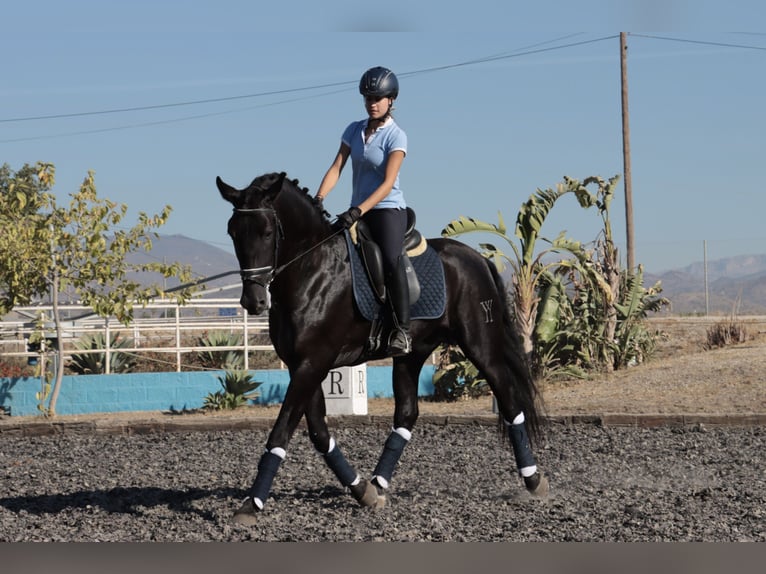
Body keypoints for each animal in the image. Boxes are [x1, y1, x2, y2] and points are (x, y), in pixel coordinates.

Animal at [218, 172, 544, 528]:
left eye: (266, 232)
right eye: (233, 232)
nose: (253, 301)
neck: (311, 270)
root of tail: (478, 258)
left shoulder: (312, 364)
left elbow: (280, 433)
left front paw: (252, 504)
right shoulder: (301, 365)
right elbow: (318, 433)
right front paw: (362, 491)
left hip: (479, 344)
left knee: (508, 398)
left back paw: (533, 480)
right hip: (412, 354)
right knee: (407, 414)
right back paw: (378, 483)